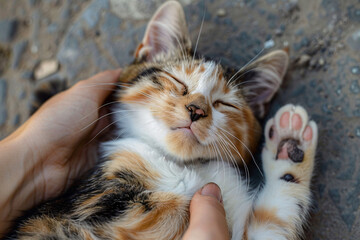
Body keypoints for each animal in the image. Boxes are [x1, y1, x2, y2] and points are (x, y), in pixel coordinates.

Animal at [7, 0, 318, 239]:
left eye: (223, 103)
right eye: (178, 82)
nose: (196, 110)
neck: (182, 168)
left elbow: (274, 220)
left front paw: (290, 146)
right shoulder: (92, 207)